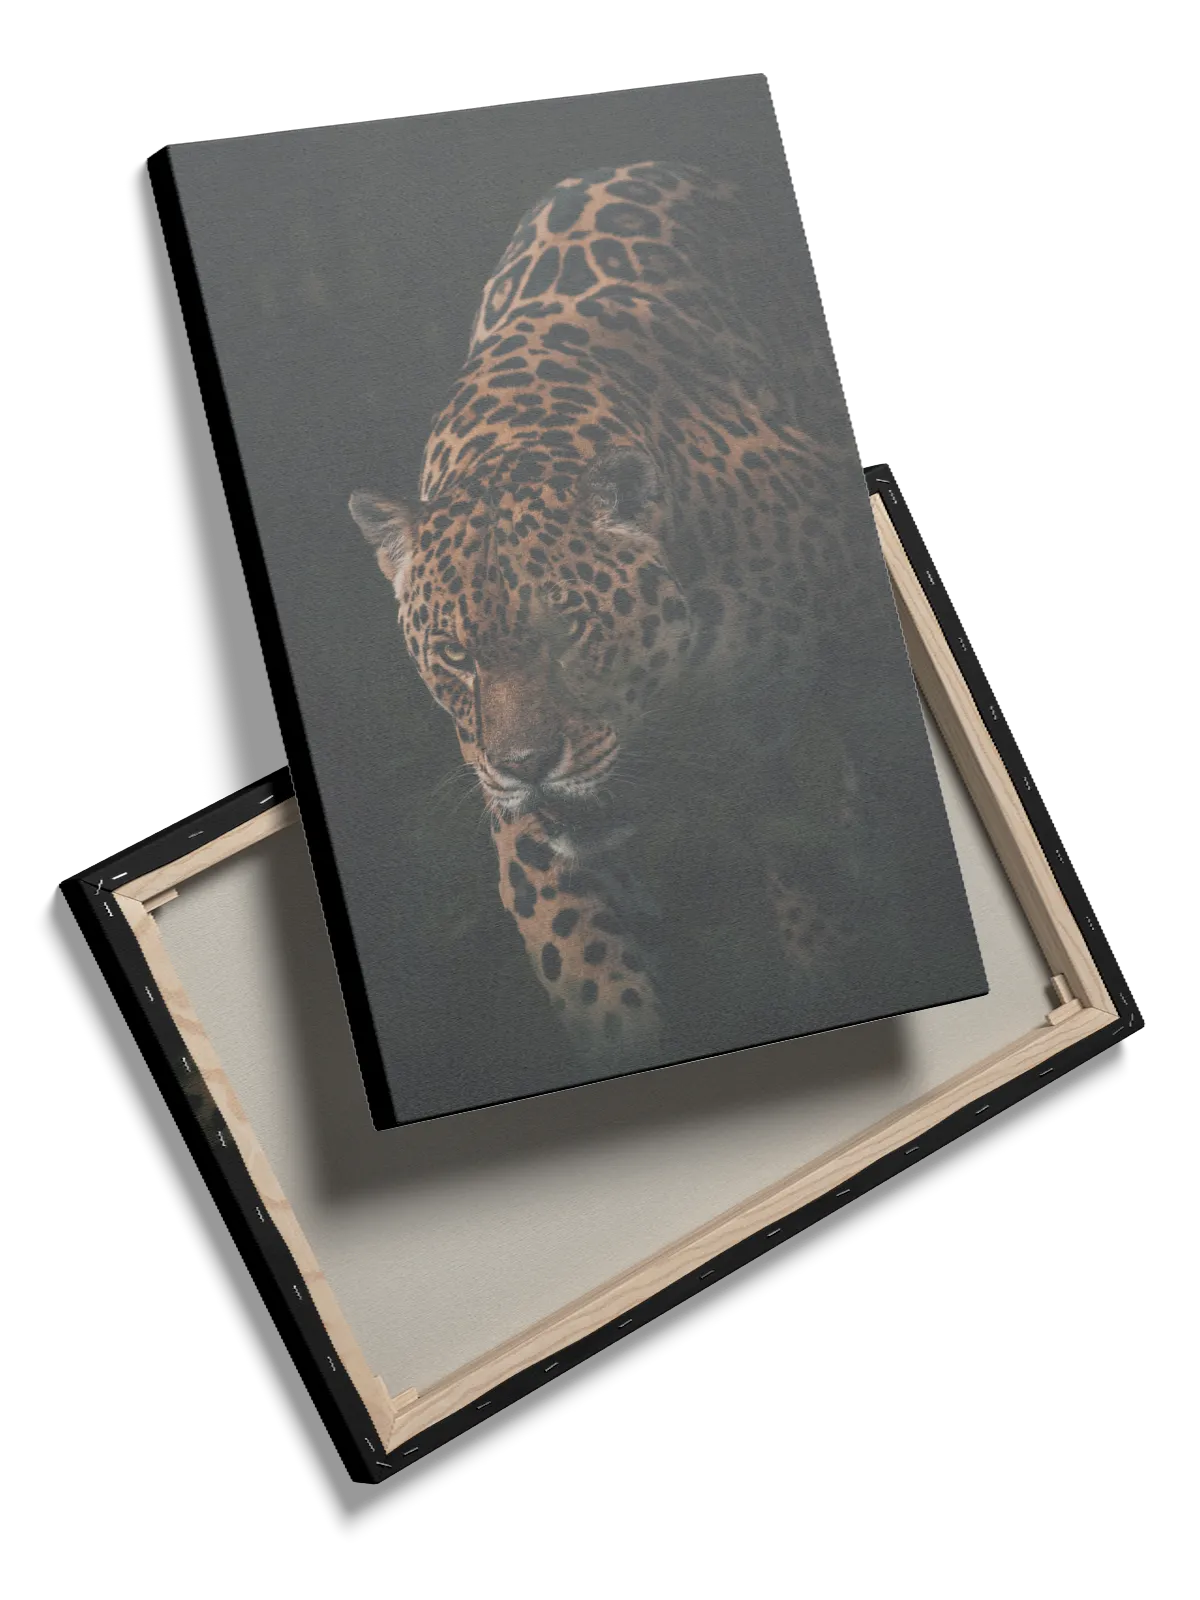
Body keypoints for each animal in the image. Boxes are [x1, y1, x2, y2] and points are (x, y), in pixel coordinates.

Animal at [350, 161, 874, 1070]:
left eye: (568, 630)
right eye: (456, 658)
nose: (528, 763)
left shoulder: (818, 706)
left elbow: (827, 867)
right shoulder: (522, 828)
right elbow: (593, 979)